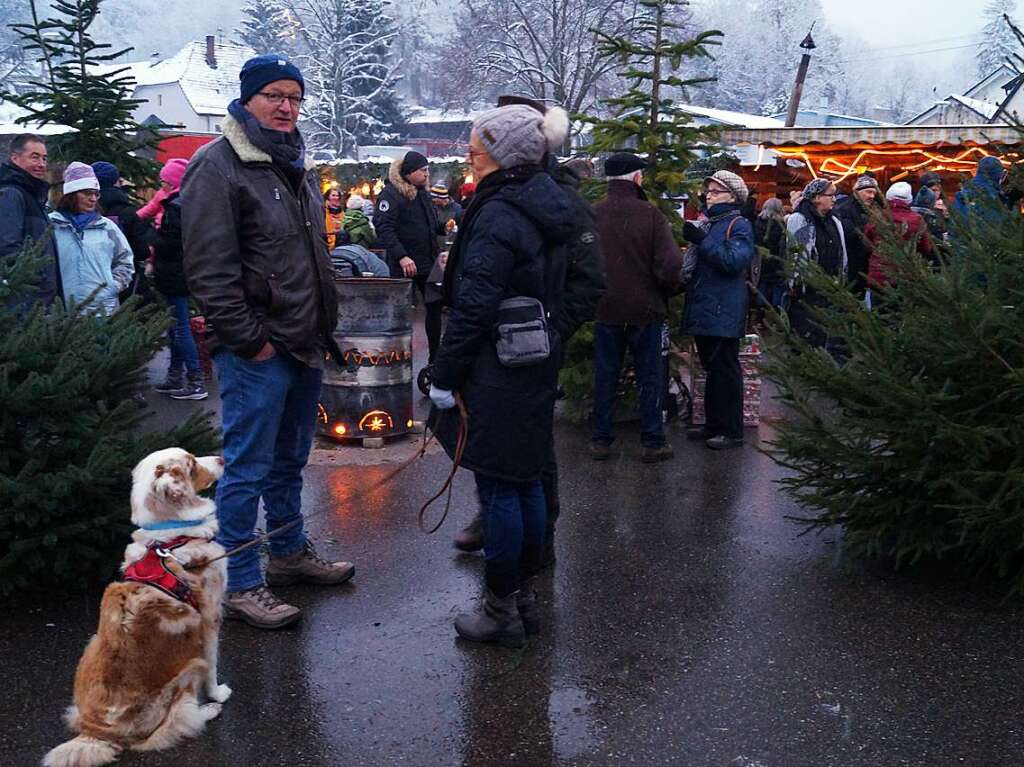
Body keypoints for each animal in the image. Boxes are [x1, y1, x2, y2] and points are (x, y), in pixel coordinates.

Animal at [43, 448, 230, 765]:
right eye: (191, 464)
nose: (222, 458)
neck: (172, 537)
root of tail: (96, 733)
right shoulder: (209, 618)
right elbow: (214, 664)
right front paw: (218, 694)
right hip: (189, 667)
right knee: (176, 722)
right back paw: (208, 710)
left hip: (90, 643)